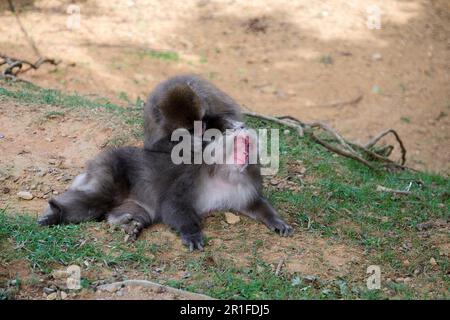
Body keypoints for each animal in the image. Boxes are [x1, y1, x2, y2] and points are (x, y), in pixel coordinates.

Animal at [37, 74, 292, 250]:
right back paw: (55, 214)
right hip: (109, 169)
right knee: (95, 199)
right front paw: (192, 233)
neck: (226, 172)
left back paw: (130, 224)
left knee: (138, 213)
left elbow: (255, 205)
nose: (241, 128)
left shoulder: (244, 186)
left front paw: (277, 221)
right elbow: (173, 204)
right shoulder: (191, 178)